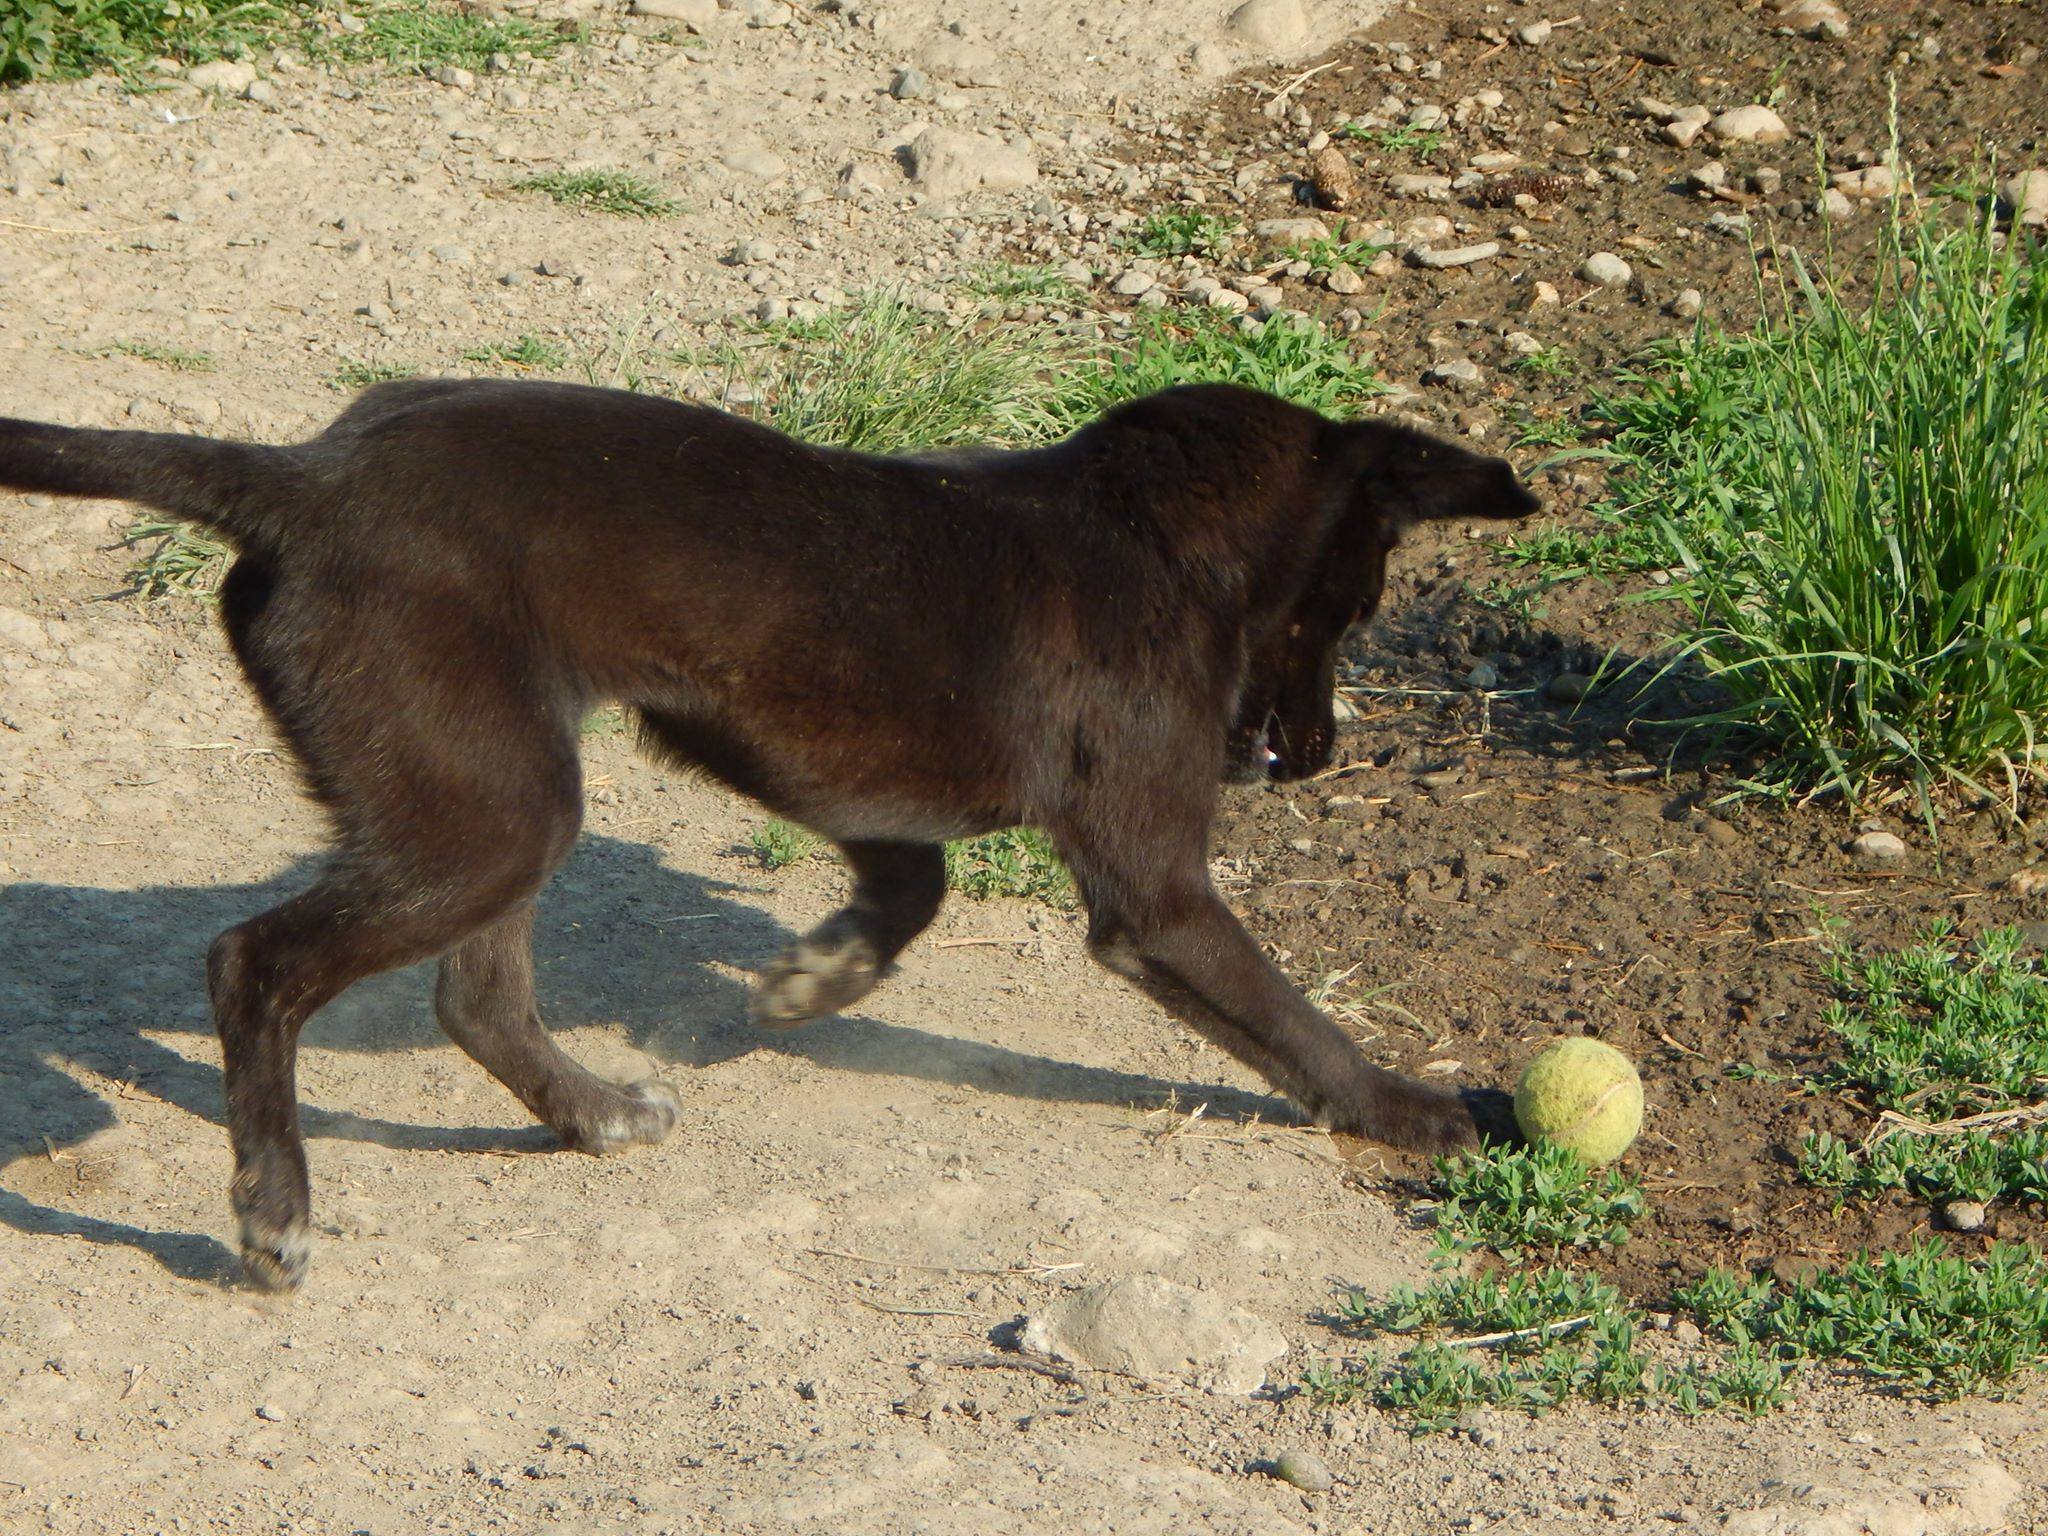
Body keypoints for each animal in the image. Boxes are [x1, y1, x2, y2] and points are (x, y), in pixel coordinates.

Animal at [0, 378, 1540, 1294]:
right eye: (1352, 603)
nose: (1317, 759)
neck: (1141, 529)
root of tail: (304, 476)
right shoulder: (1154, 896)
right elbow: (1292, 1024)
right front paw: (1412, 1110)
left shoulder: (807, 754)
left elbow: (910, 886)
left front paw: (815, 978)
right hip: (485, 810)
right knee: (252, 963)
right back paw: (275, 1203)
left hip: (494, 791)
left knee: (475, 996)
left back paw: (593, 1112)